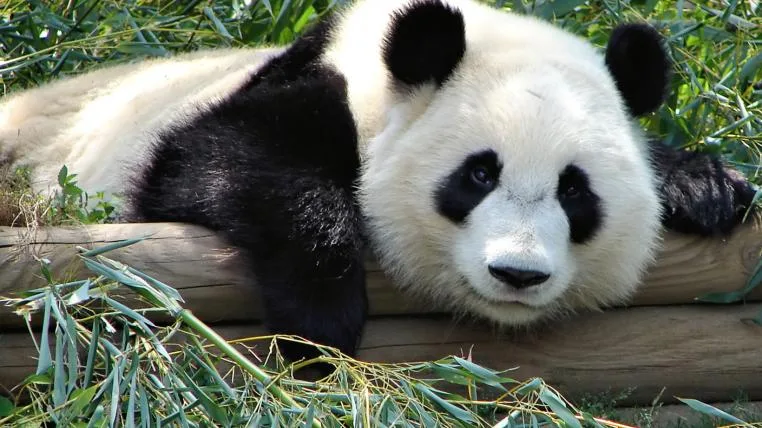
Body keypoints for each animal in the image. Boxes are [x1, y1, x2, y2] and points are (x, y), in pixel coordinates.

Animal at [1, 0, 756, 367]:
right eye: (478, 174)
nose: (517, 274)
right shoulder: (290, 92)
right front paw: (321, 325)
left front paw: (707, 187)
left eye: (575, 192)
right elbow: (216, 163)